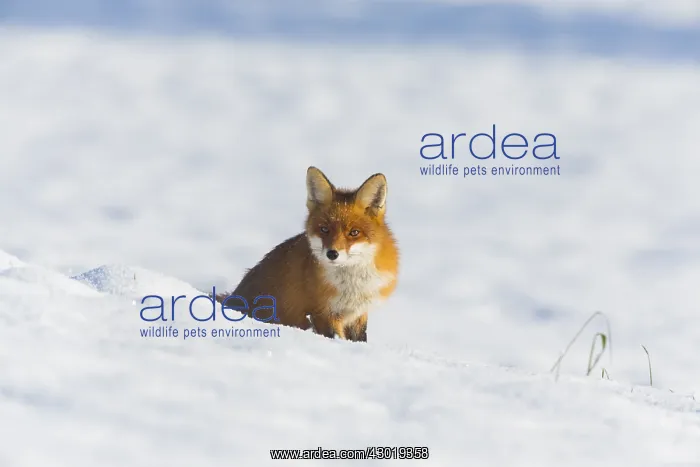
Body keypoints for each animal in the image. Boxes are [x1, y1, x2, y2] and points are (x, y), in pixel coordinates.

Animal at [213, 166, 399, 342]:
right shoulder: (323, 313)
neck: (351, 286)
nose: (332, 254)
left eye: (354, 232)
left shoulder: (358, 314)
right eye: (324, 229)